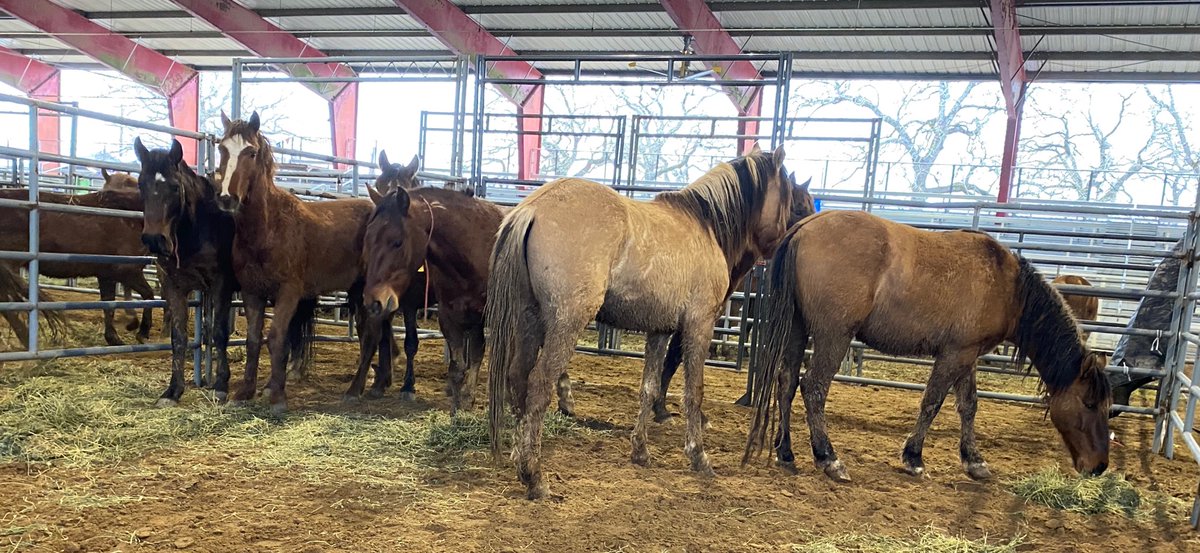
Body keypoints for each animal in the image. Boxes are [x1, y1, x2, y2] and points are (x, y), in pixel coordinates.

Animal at [0, 188, 155, 346]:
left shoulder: (106, 275)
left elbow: (109, 304)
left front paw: (115, 337)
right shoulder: (127, 272)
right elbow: (148, 295)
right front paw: (141, 331)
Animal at [133, 137, 244, 405]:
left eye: (175, 187)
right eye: (140, 183)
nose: (154, 239)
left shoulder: (221, 285)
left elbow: (219, 333)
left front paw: (221, 385)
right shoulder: (174, 286)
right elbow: (179, 337)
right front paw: (173, 391)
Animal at [215, 111, 371, 413]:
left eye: (251, 152)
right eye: (222, 148)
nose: (227, 199)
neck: (269, 228)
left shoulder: (289, 293)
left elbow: (277, 338)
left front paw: (277, 398)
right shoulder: (252, 293)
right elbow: (254, 340)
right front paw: (245, 393)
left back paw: (355, 389)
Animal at [487, 145, 794, 499]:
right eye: (789, 193)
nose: (785, 241)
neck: (705, 226)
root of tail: (533, 208)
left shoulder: (659, 331)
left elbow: (649, 388)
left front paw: (641, 451)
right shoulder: (699, 325)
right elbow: (694, 392)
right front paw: (699, 456)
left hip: (530, 320)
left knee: (518, 379)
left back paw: (519, 460)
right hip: (566, 323)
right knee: (538, 385)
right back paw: (534, 475)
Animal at [745, 210, 1112, 482]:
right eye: (1089, 403)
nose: (1099, 466)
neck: (1010, 288)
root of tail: (803, 229)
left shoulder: (968, 356)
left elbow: (969, 405)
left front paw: (974, 461)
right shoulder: (954, 355)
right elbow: (932, 403)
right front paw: (914, 457)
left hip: (797, 330)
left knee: (787, 383)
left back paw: (786, 452)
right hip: (833, 336)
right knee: (813, 387)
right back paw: (828, 458)